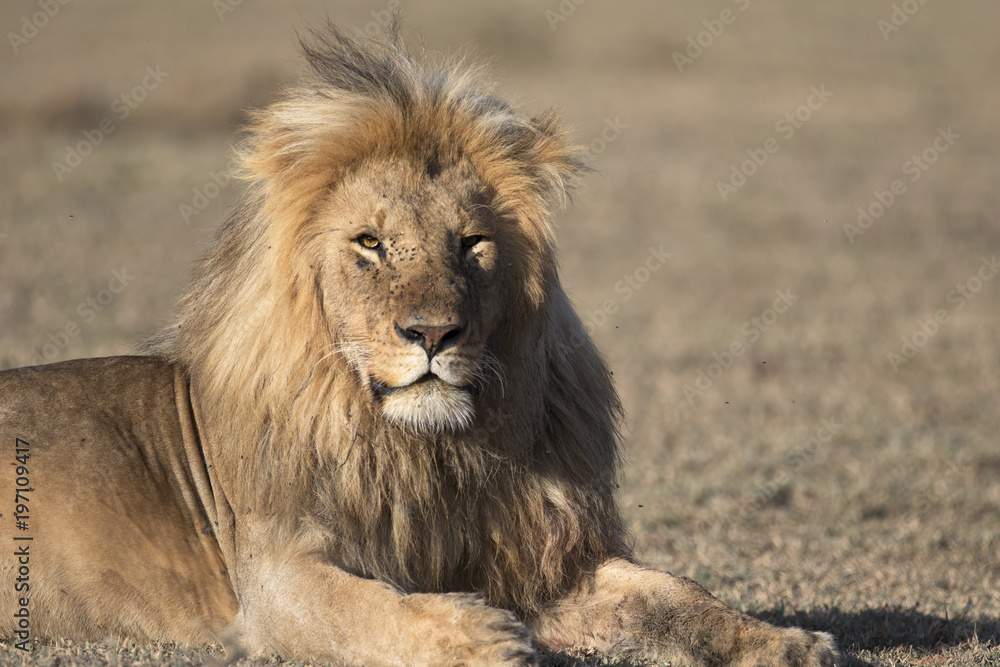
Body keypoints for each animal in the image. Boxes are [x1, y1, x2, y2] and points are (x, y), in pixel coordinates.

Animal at [0, 24, 837, 667]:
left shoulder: (538, 558)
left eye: (471, 243)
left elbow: (677, 594)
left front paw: (785, 641)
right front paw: (483, 637)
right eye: (370, 243)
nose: (433, 333)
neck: (425, 453)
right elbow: (371, 609)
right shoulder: (274, 577)